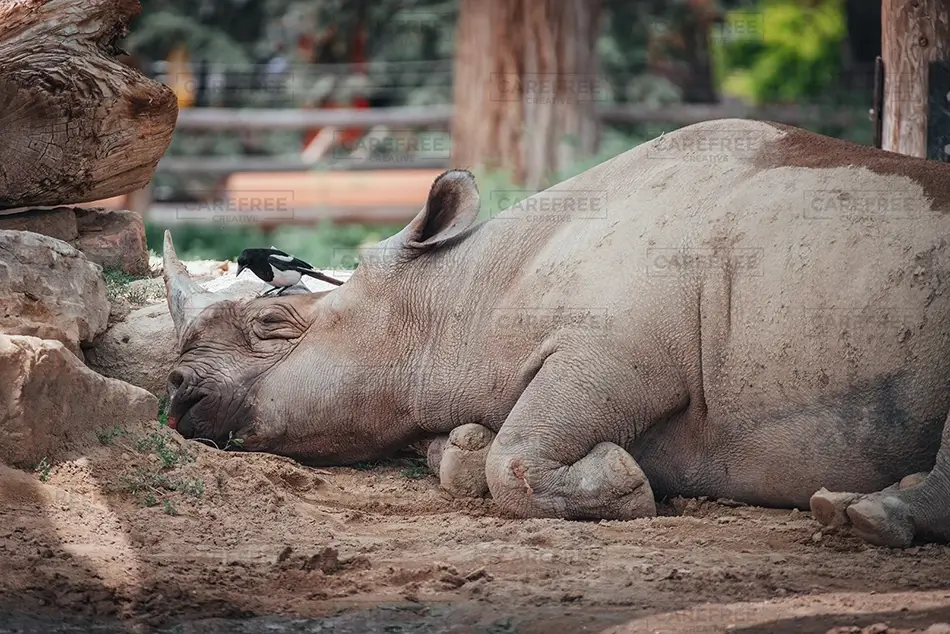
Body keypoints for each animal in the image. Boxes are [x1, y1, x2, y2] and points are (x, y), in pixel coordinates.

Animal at [161, 119, 950, 548]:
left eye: (271, 325)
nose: (176, 389)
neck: (458, 297)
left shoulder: (616, 351)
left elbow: (514, 457)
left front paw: (624, 483)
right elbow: (473, 455)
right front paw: (465, 446)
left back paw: (863, 517)